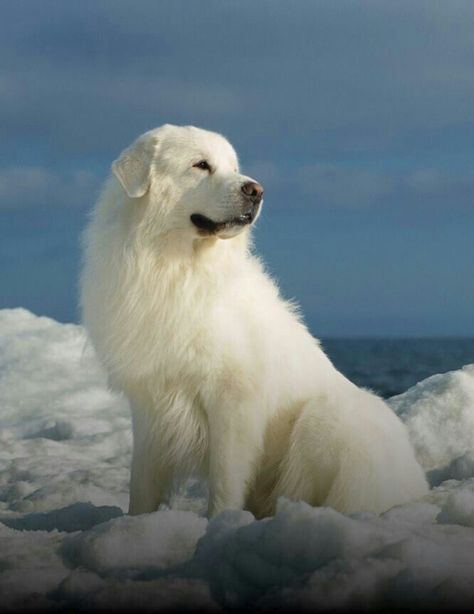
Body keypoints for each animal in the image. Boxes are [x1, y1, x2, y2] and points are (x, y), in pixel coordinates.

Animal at [82, 125, 430, 520]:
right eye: (201, 165)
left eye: (234, 167)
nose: (256, 190)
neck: (174, 266)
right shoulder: (149, 402)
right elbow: (141, 485)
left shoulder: (232, 399)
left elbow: (225, 478)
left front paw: (220, 524)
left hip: (325, 418)